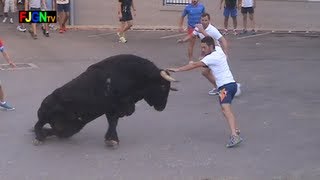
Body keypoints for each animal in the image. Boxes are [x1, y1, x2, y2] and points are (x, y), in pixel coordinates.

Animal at [33, 54, 178, 146]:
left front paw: (111, 139)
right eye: (162, 86)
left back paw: (44, 134)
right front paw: (112, 140)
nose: (162, 107)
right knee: (38, 124)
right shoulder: (113, 107)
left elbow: (113, 123)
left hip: (74, 126)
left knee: (55, 131)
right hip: (45, 113)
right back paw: (39, 138)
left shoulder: (116, 109)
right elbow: (113, 122)